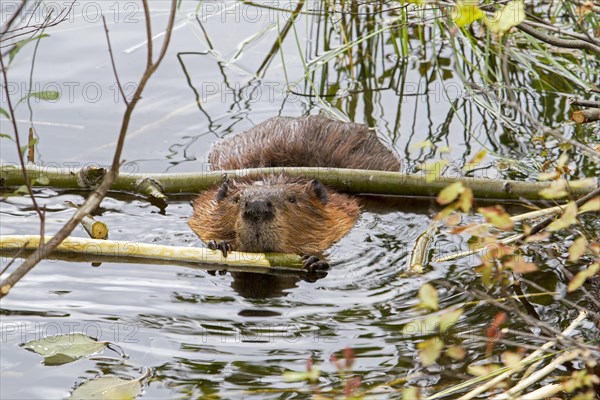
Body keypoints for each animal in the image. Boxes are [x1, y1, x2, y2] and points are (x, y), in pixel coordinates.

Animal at [188, 115, 400, 276]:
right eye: (236, 199)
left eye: (292, 199)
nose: (257, 207)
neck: (274, 174)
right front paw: (219, 245)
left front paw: (313, 260)